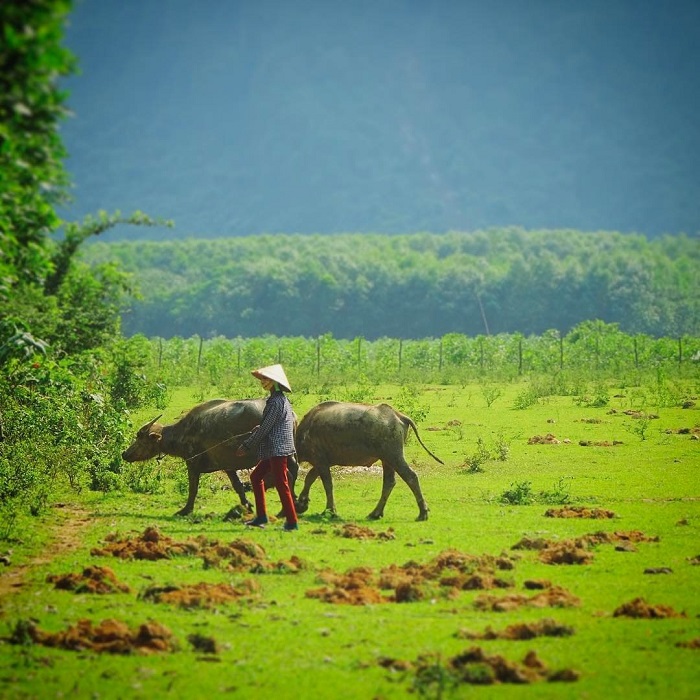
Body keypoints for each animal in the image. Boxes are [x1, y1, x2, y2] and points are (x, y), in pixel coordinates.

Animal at [123, 396, 298, 516]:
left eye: (141, 438)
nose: (125, 453)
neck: (183, 433)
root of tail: (291, 414)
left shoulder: (192, 463)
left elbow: (193, 488)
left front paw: (186, 509)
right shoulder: (228, 466)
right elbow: (238, 486)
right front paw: (247, 505)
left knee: (286, 476)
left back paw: (285, 510)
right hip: (288, 452)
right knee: (294, 470)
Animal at [292, 402, 440, 524]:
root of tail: (398, 415)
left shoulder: (321, 461)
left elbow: (327, 485)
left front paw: (329, 511)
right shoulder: (321, 463)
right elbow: (309, 478)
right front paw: (302, 503)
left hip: (394, 456)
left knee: (411, 477)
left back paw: (422, 513)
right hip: (387, 460)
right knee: (389, 482)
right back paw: (375, 513)